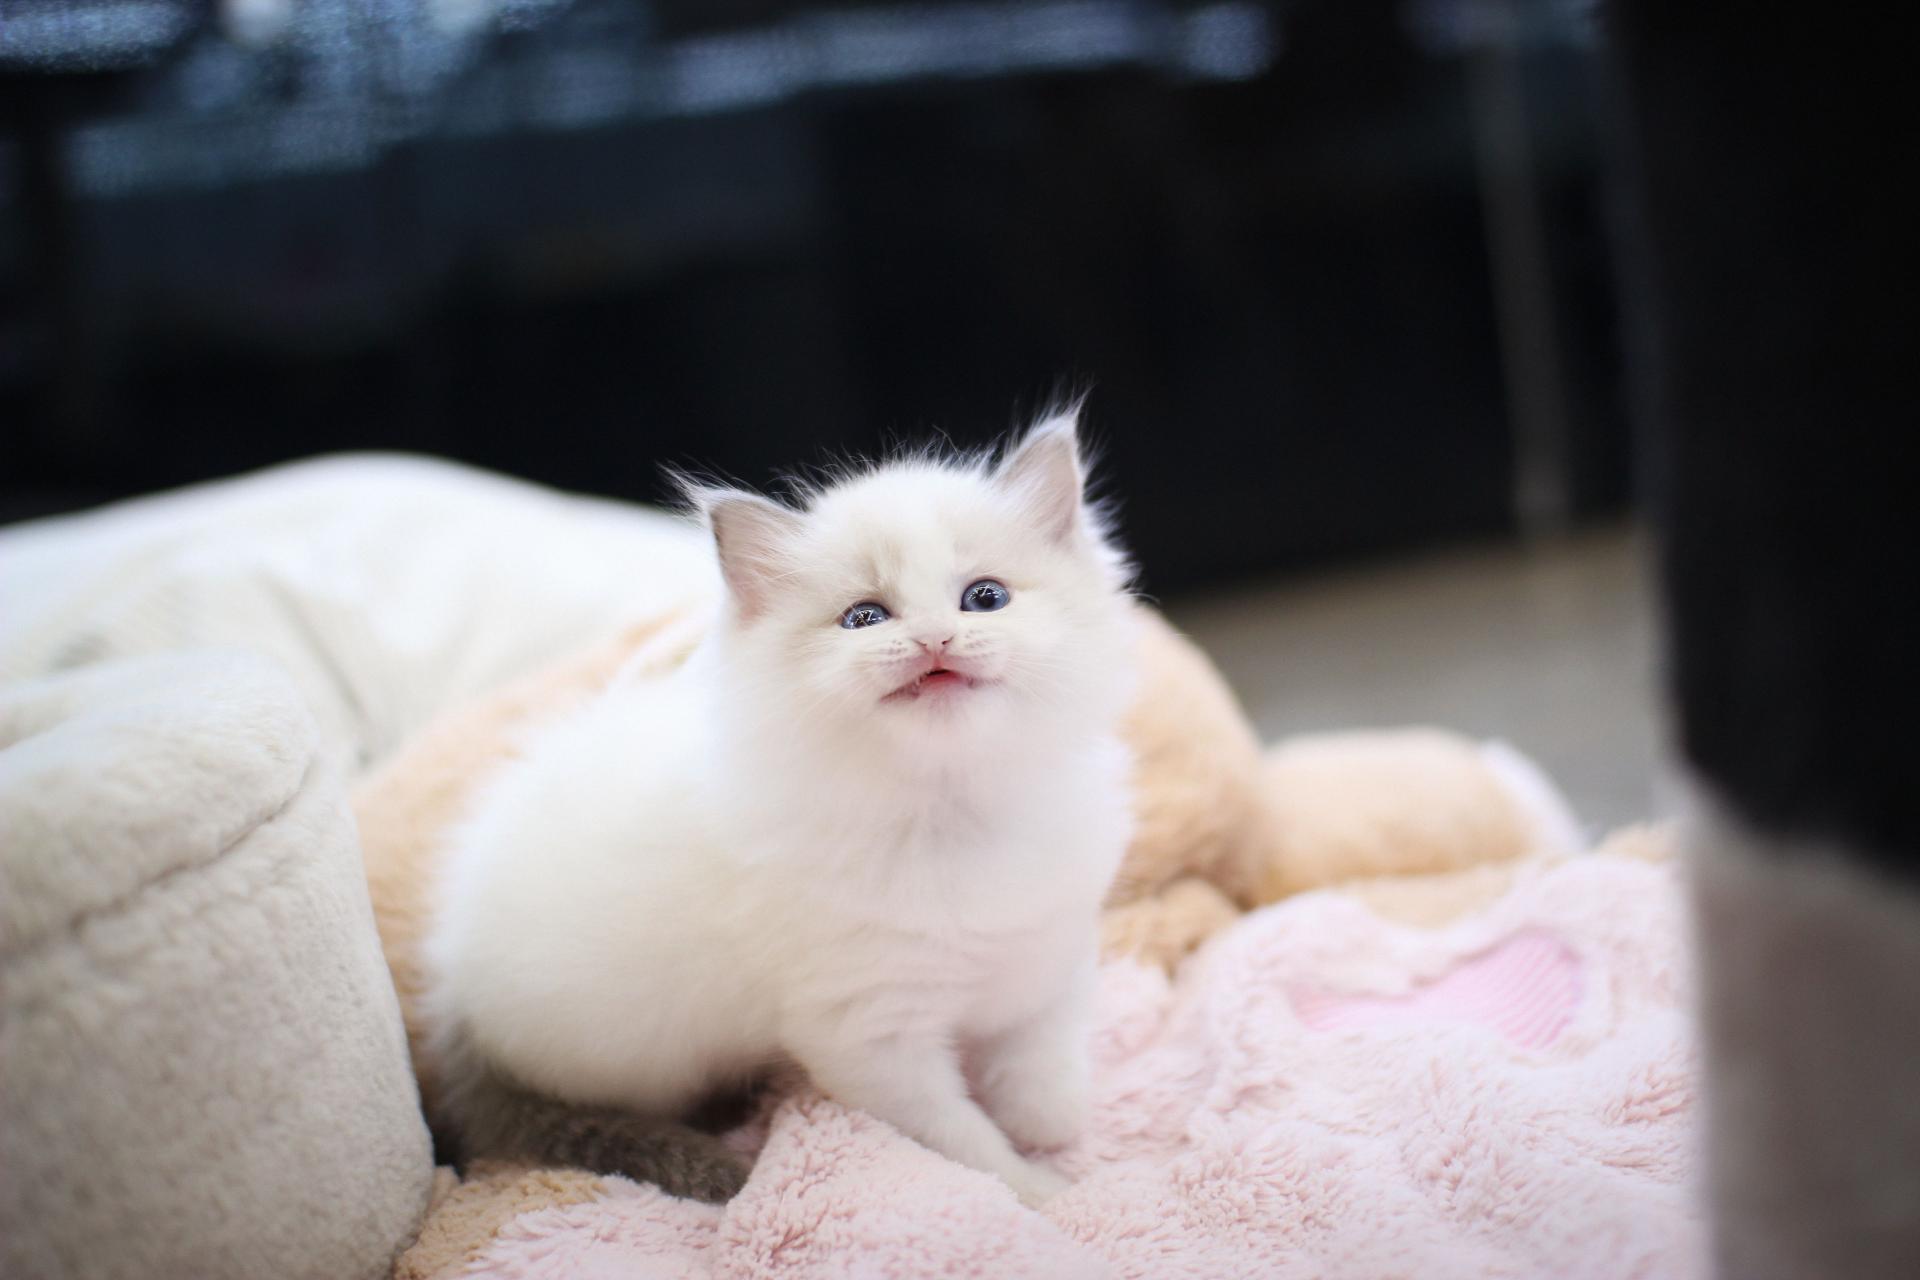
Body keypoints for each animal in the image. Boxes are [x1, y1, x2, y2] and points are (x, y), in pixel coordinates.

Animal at [419, 407, 1139, 1206]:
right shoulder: (871, 1039)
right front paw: (1045, 1190)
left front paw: (1052, 1124)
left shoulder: (1048, 948)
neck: (950, 811)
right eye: (865, 618)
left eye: (985, 598)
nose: (935, 639)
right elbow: (964, 1143)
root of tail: (453, 997)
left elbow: (1043, 1056)